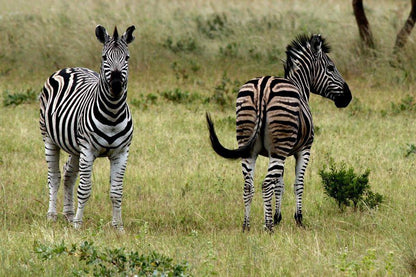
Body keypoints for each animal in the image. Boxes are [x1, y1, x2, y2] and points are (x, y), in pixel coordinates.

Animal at [39, 24, 135, 230]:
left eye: (127, 58)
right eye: (104, 57)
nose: (116, 85)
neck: (113, 113)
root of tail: (69, 67)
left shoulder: (121, 153)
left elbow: (116, 192)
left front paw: (118, 227)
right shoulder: (89, 150)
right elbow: (84, 189)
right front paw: (78, 224)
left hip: (76, 148)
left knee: (68, 175)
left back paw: (68, 214)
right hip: (49, 139)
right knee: (55, 177)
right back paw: (52, 215)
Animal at [205, 34, 352, 231]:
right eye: (331, 67)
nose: (348, 97)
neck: (300, 87)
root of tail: (263, 87)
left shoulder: (274, 153)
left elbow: (279, 184)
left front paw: (277, 217)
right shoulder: (303, 149)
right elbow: (298, 183)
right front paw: (298, 219)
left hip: (249, 145)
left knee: (248, 185)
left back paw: (246, 226)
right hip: (280, 145)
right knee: (266, 184)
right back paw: (268, 228)